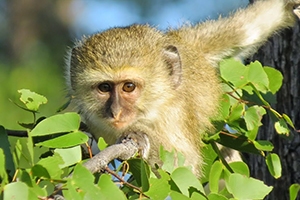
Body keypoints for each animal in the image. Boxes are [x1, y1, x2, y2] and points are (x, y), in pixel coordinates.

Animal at [66, 0, 300, 176]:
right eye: (105, 87)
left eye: (129, 87)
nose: (115, 112)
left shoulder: (173, 114)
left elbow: (183, 166)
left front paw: (140, 137)